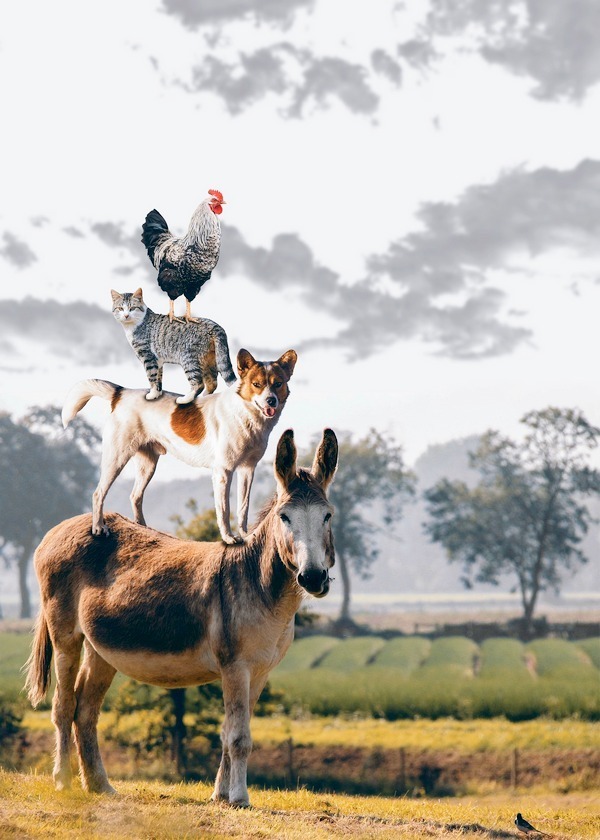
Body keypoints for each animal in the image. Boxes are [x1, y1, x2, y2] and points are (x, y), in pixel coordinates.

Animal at [62, 348, 296, 544]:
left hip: (147, 465)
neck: (245, 413)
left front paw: (246, 534)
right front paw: (229, 538)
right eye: (257, 384)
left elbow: (243, 508)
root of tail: (120, 393)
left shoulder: (247, 469)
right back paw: (98, 528)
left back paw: (145, 530)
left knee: (135, 496)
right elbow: (224, 510)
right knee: (98, 493)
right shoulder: (223, 472)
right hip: (116, 458)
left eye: (278, 383)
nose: (271, 401)